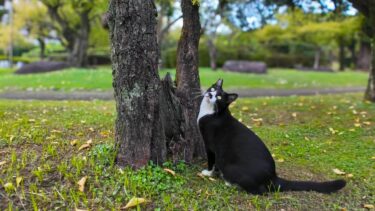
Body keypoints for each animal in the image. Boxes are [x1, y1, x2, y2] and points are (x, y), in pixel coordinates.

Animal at [198, 79, 348, 195]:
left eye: (218, 97)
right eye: (212, 88)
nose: (210, 94)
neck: (211, 112)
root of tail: (273, 177)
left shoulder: (209, 145)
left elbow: (211, 161)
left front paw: (208, 173)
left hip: (231, 167)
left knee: (261, 191)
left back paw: (231, 184)